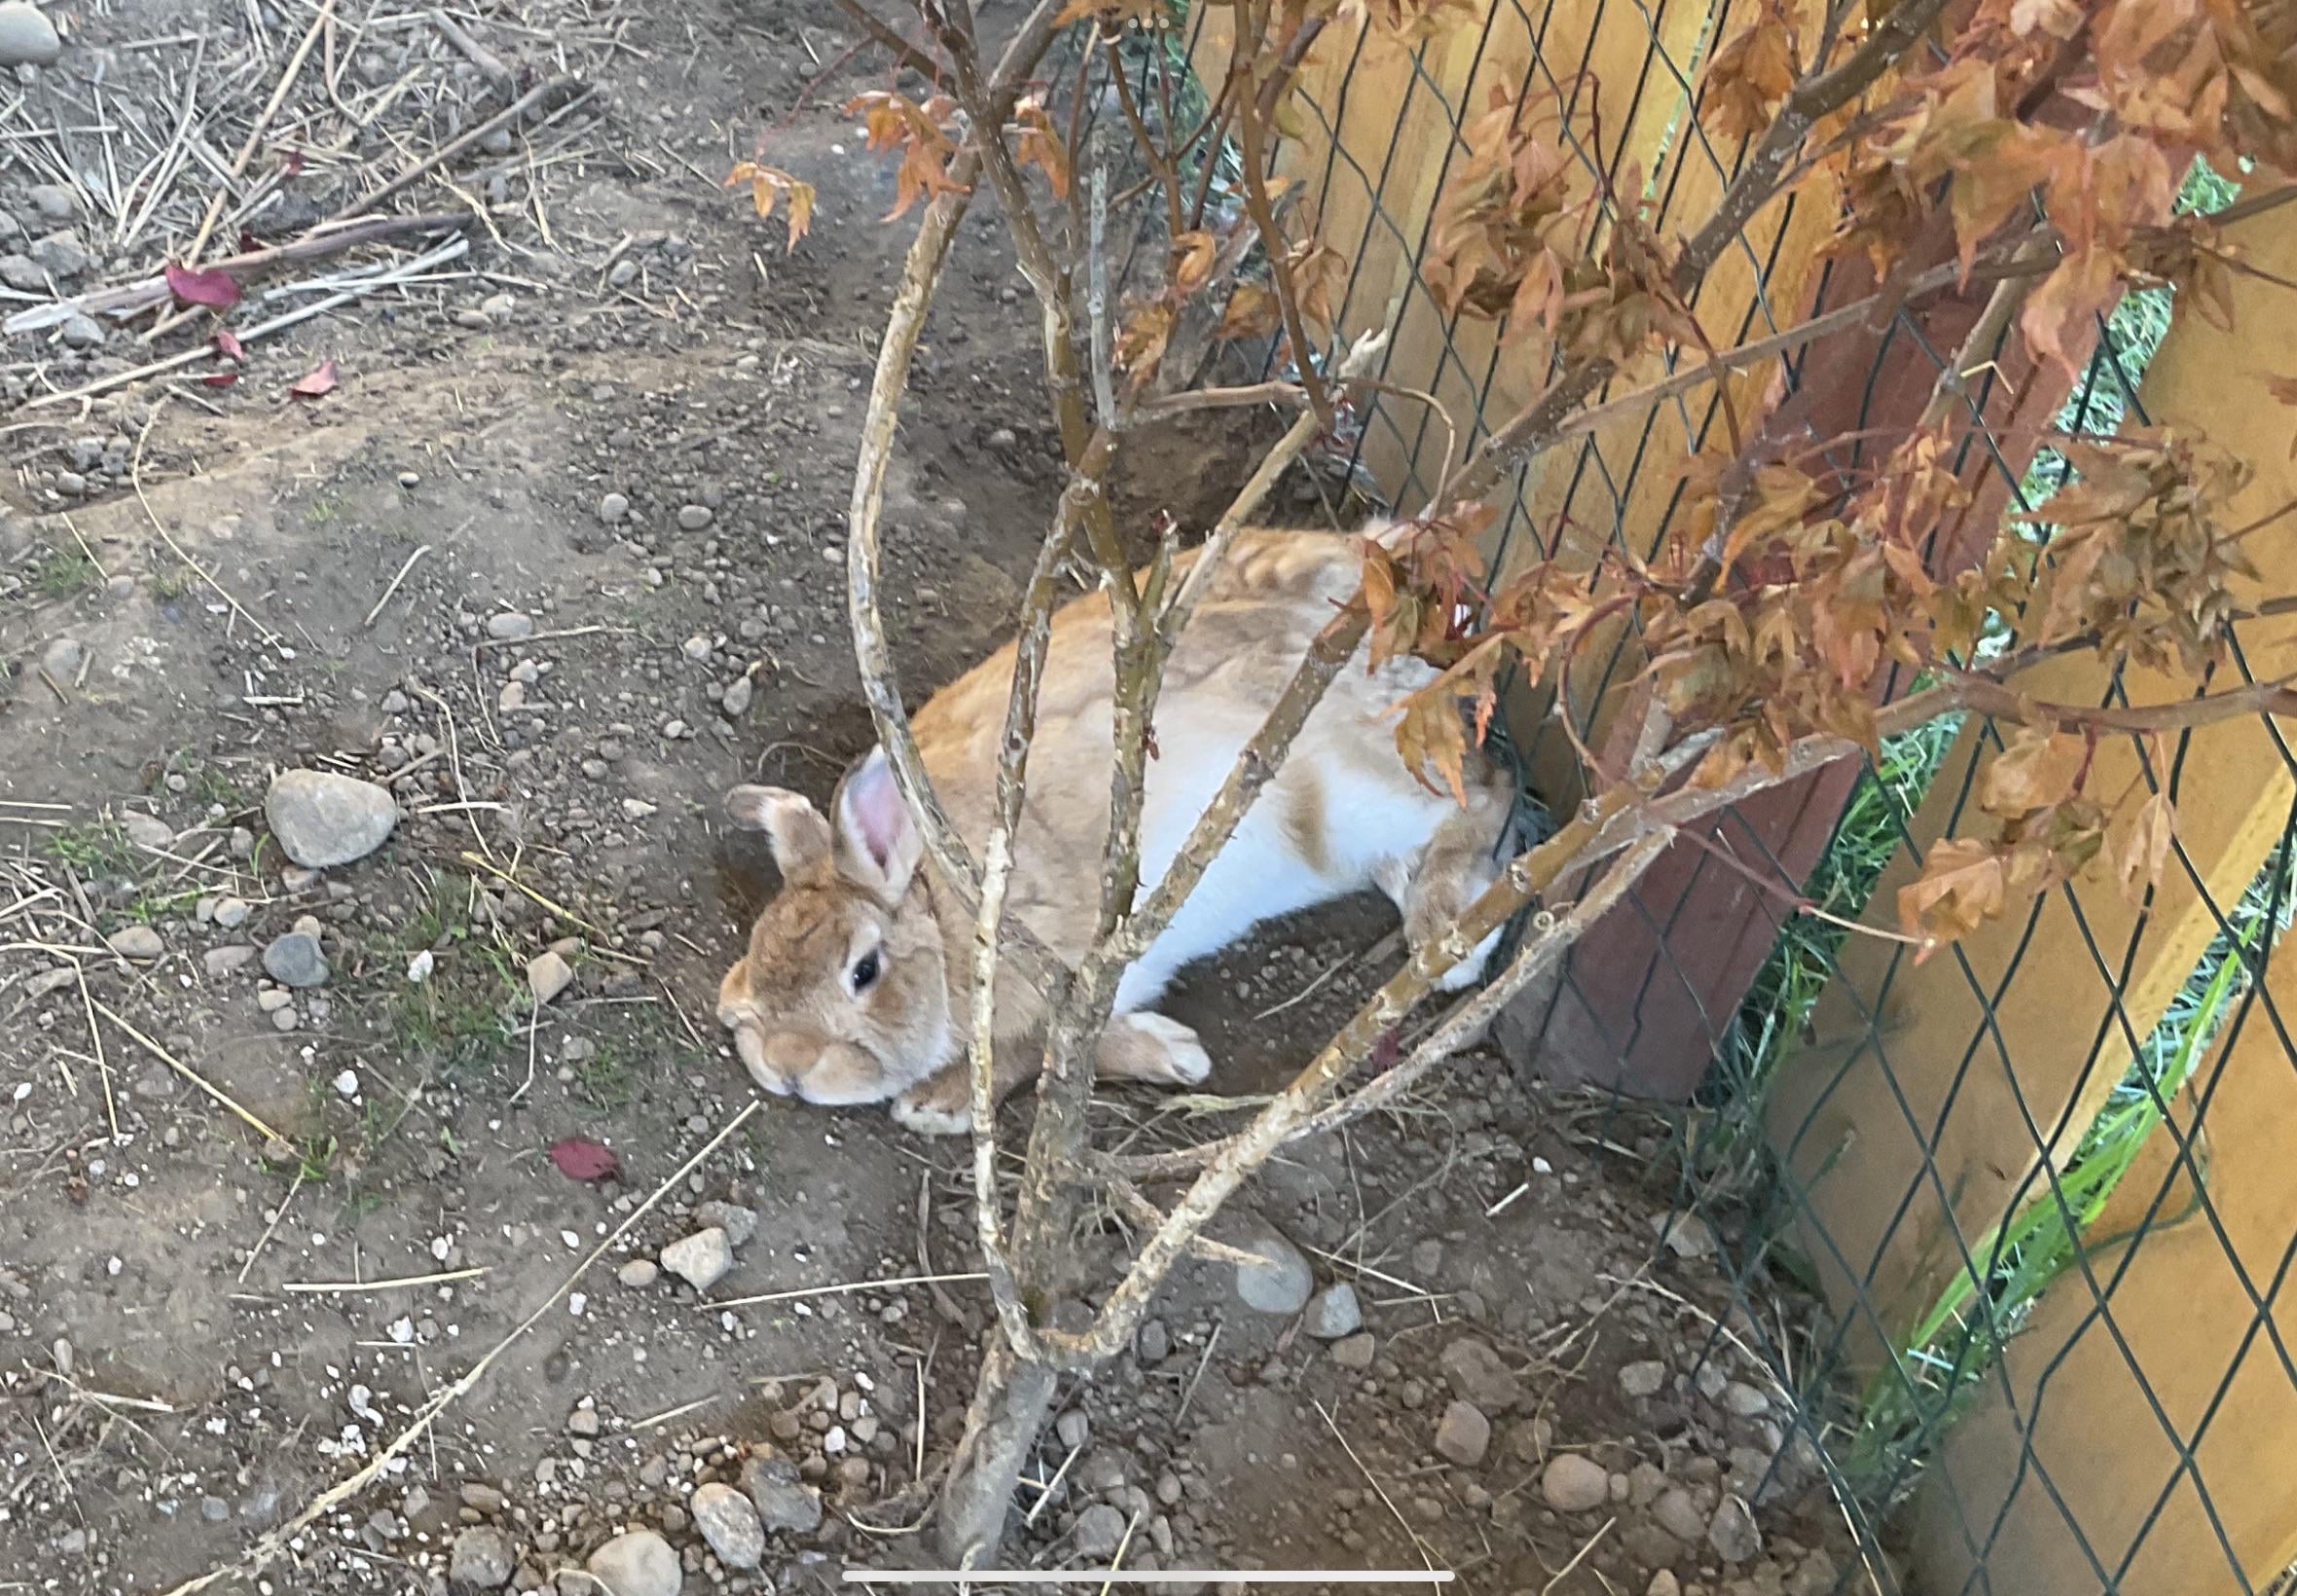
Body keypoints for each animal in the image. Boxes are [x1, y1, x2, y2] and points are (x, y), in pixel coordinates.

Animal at [716, 521, 1516, 1135]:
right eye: (759, 948)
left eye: (864, 971)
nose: (787, 1066)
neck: (944, 916)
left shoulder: (1085, 969)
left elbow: (1050, 1050)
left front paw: (939, 1103)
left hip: (1350, 797)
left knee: (1486, 793)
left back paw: (1449, 936)